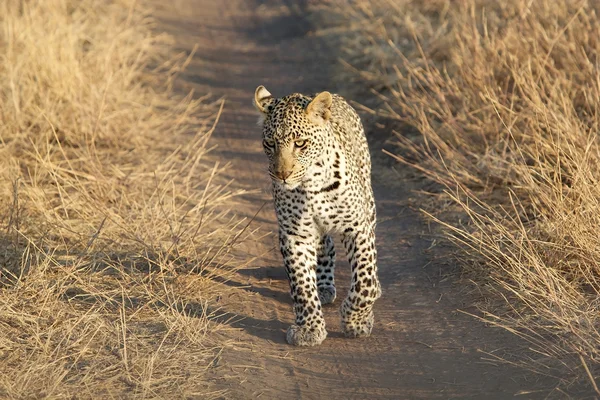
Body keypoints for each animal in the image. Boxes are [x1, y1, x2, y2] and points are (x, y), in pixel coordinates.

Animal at [254, 85, 384, 346]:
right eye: (270, 143)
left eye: (300, 143)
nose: (282, 175)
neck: (311, 186)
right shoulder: (295, 235)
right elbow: (302, 286)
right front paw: (309, 328)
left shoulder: (358, 227)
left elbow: (363, 281)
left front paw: (356, 320)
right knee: (326, 247)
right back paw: (323, 287)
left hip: (369, 204)